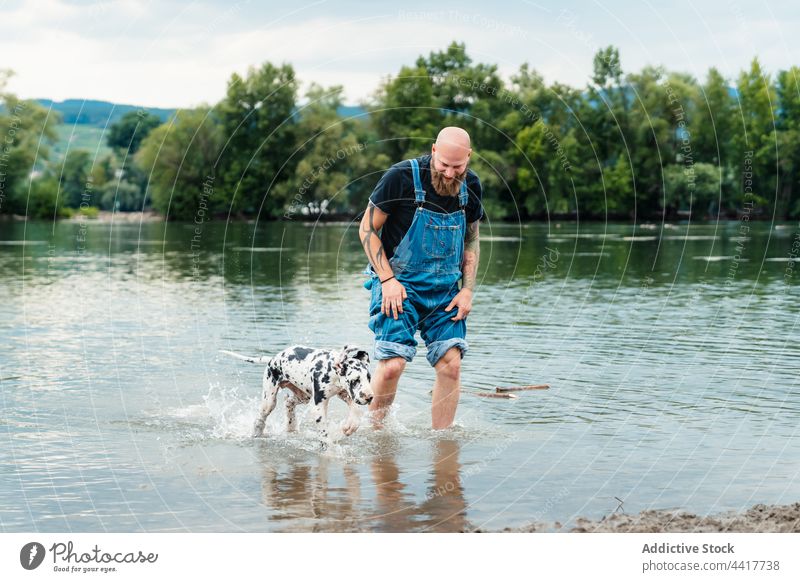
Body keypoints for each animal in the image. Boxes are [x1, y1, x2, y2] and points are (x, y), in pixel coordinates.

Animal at [220, 346, 374, 438]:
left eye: (369, 378)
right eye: (355, 380)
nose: (369, 397)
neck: (331, 369)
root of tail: (272, 359)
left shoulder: (345, 394)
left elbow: (356, 411)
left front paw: (350, 426)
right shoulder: (318, 407)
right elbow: (325, 434)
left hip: (304, 396)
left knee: (288, 402)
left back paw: (291, 427)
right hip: (269, 401)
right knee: (261, 417)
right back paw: (257, 433)